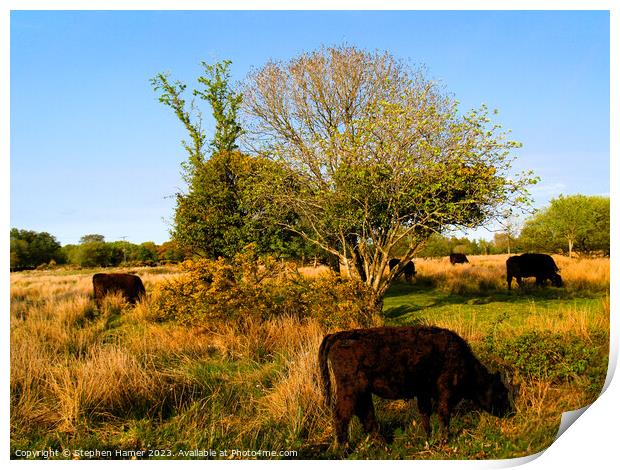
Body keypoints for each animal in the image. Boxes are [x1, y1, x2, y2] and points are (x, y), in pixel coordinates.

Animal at [318, 324, 516, 446]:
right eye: (502, 392)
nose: (511, 412)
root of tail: (339, 335)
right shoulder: (445, 392)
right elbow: (443, 414)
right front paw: (445, 439)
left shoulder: (423, 393)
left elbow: (425, 414)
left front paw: (428, 437)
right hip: (349, 390)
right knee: (342, 415)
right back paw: (343, 449)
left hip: (363, 392)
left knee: (367, 415)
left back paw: (382, 445)